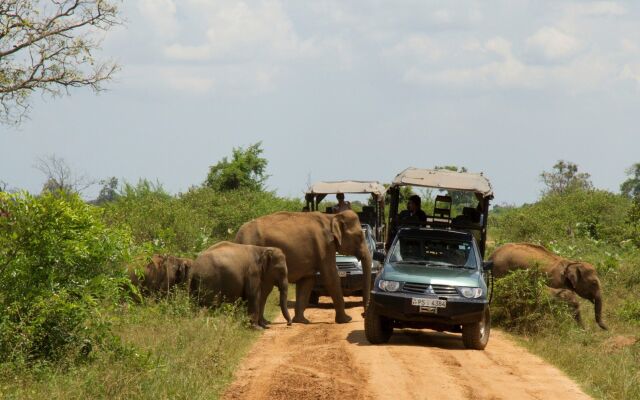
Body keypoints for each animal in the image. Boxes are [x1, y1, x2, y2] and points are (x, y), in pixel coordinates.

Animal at [235, 209, 370, 324]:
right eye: (359, 236)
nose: (363, 315)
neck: (332, 217)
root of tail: (238, 237)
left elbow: (307, 281)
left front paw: (302, 321)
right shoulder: (325, 246)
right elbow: (331, 277)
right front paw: (346, 320)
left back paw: (262, 322)